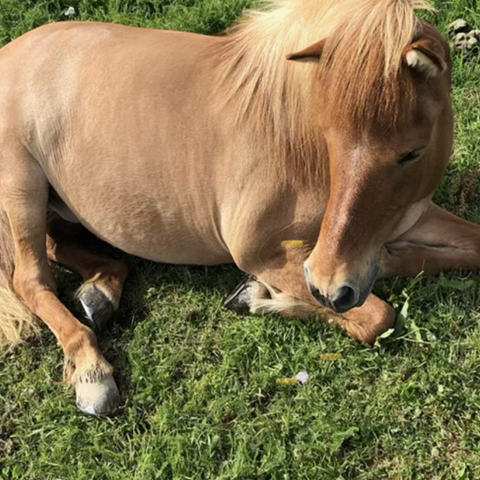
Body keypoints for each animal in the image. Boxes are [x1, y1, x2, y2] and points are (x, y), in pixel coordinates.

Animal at [0, 0, 474, 414]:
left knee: (61, 247)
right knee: (32, 278)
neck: (292, 138)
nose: (329, 287)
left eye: (413, 152)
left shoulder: (406, 218)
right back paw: (92, 372)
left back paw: (100, 292)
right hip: (22, 188)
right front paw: (262, 297)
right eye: (329, 137)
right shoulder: (263, 254)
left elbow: (464, 248)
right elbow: (377, 314)